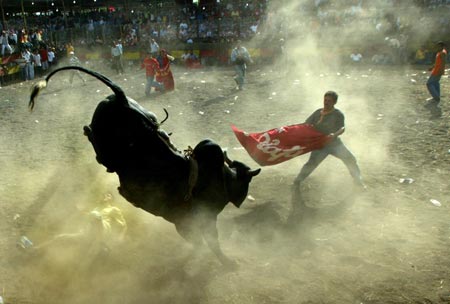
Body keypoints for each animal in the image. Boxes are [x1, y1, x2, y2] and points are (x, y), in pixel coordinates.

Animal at [29, 66, 262, 264]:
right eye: (247, 182)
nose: (242, 199)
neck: (219, 178)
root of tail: (122, 99)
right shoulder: (191, 221)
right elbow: (208, 241)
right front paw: (227, 262)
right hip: (111, 147)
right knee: (98, 146)